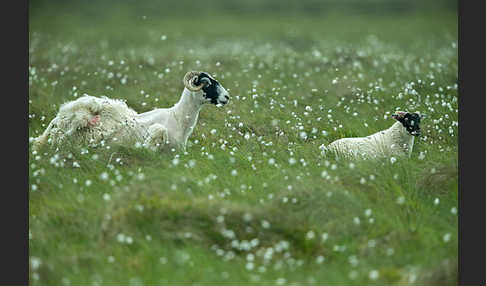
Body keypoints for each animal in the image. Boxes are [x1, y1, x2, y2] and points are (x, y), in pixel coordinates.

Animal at [31, 70, 230, 152]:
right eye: (207, 83)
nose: (227, 97)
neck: (178, 118)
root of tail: (59, 117)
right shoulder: (160, 129)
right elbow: (158, 132)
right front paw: (146, 146)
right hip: (83, 114)